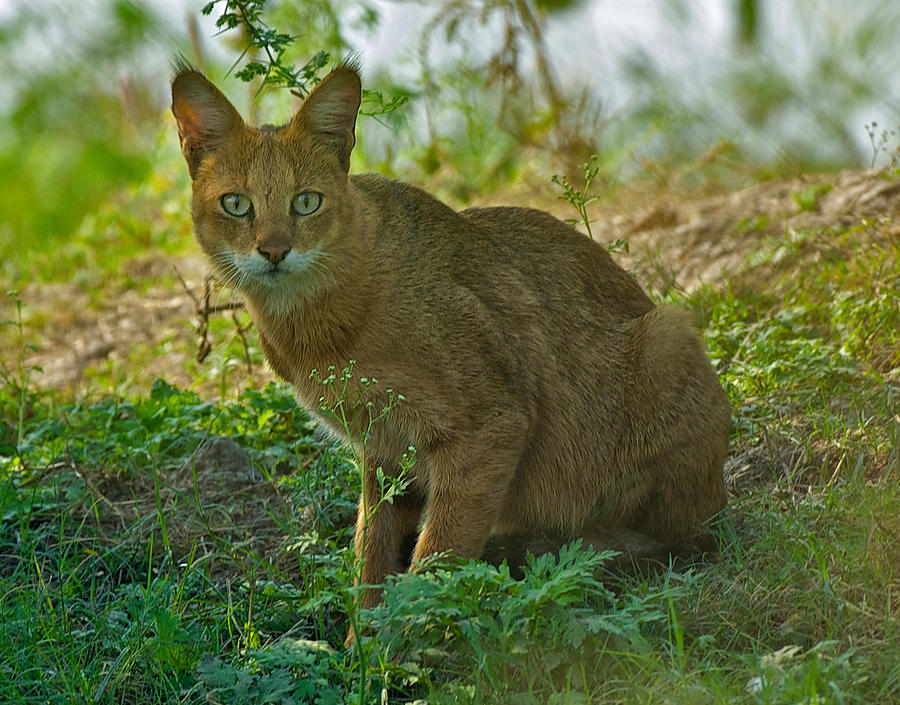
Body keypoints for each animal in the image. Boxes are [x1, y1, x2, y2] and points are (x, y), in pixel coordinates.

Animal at [172, 60, 736, 628]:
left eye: (306, 202)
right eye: (236, 204)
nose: (273, 251)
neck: (315, 326)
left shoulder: (488, 428)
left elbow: (436, 561)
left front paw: (408, 642)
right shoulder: (385, 451)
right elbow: (372, 552)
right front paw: (362, 639)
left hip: (667, 338)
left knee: (688, 540)